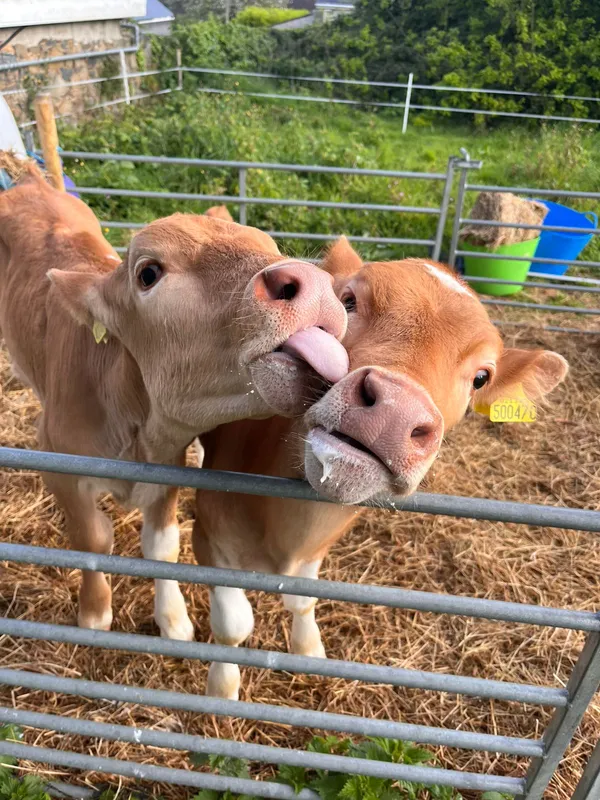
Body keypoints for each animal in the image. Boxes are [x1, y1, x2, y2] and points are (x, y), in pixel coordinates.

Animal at [0, 163, 348, 642]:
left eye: (270, 245)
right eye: (148, 273)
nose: (311, 282)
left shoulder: (168, 464)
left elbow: (162, 545)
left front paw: (174, 618)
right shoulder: (57, 463)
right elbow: (91, 539)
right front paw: (95, 611)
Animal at [193, 234, 569, 700]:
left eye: (481, 377)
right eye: (347, 301)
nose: (395, 411)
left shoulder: (318, 546)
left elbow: (303, 598)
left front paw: (308, 647)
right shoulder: (210, 535)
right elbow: (233, 625)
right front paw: (221, 688)